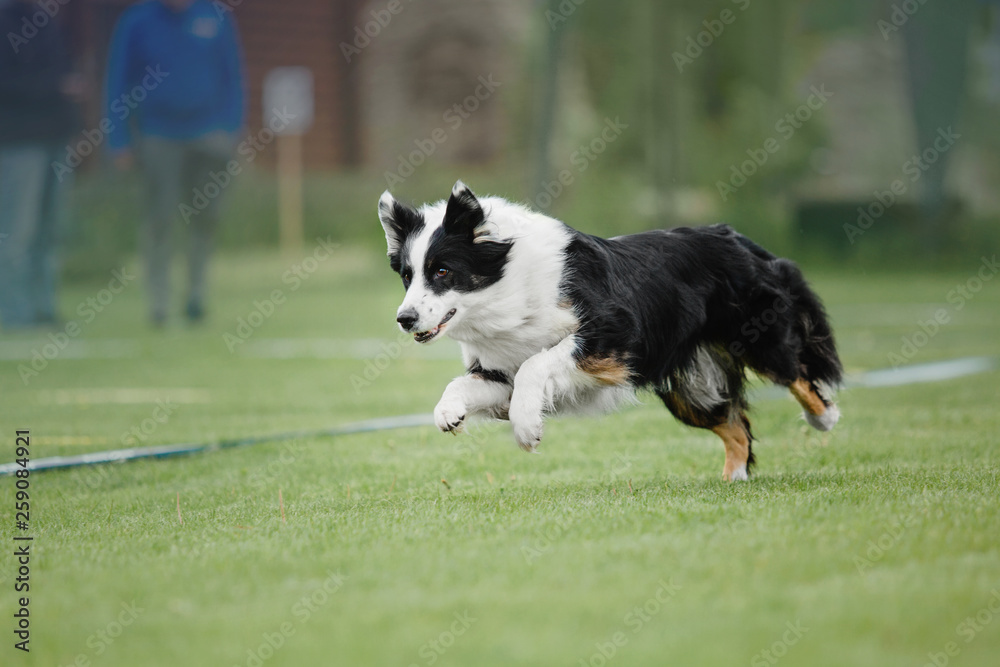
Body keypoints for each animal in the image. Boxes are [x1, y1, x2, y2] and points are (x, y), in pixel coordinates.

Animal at [378, 181, 840, 480]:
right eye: (407, 276)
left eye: (442, 271)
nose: (404, 319)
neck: (508, 289)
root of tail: (740, 239)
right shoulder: (498, 368)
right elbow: (467, 383)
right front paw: (448, 412)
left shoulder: (614, 333)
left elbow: (536, 363)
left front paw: (527, 430)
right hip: (689, 388)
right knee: (735, 426)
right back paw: (732, 481)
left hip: (759, 338)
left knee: (797, 373)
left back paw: (824, 417)